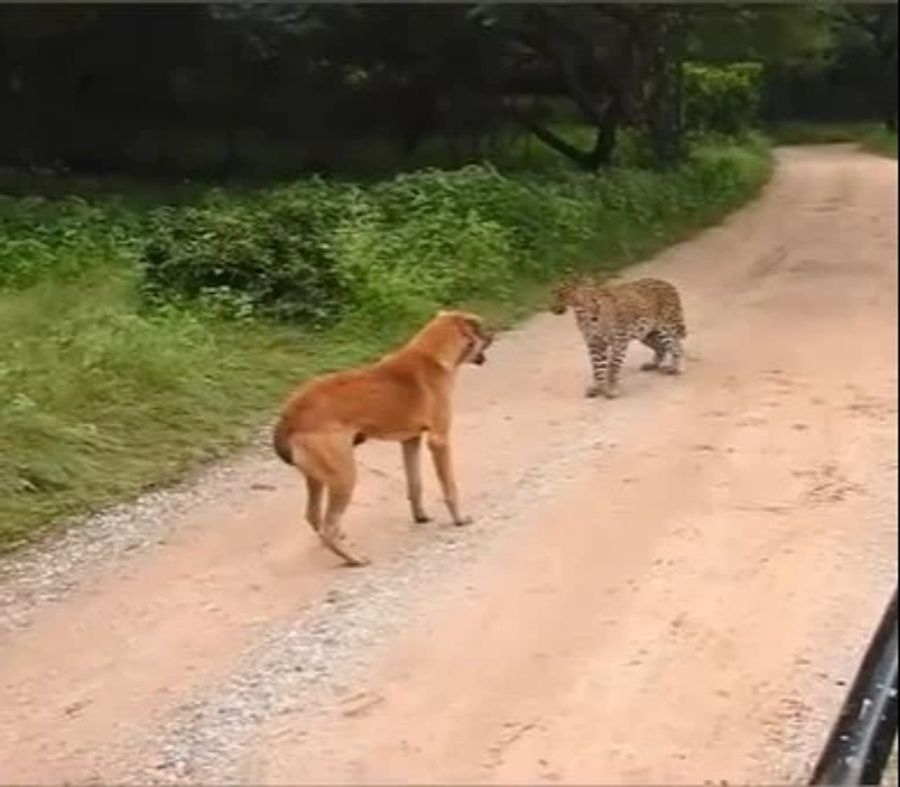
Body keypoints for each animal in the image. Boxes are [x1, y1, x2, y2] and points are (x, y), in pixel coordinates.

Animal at [270, 310, 496, 568]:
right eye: (482, 328)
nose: (494, 334)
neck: (432, 355)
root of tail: (290, 415)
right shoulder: (439, 440)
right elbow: (449, 488)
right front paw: (459, 519)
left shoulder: (410, 440)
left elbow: (415, 484)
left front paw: (420, 516)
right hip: (344, 476)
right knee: (329, 526)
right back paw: (354, 558)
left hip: (317, 477)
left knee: (314, 517)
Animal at [548, 276, 688, 400]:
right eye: (554, 294)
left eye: (561, 295)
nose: (552, 308)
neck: (583, 312)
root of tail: (666, 283)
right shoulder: (595, 344)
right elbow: (597, 368)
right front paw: (597, 388)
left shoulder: (619, 341)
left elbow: (612, 367)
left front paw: (611, 389)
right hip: (646, 333)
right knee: (661, 348)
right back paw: (653, 364)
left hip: (666, 327)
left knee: (676, 346)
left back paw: (674, 368)